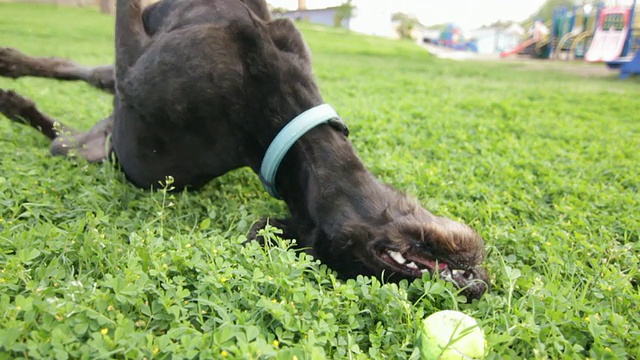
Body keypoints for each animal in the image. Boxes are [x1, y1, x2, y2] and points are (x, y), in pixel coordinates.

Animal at [1, 0, 490, 300]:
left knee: (58, 127)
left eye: (381, 270)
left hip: (85, 143)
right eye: (389, 261)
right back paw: (13, 70)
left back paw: (13, 102)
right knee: (74, 71)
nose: (472, 287)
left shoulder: (133, 64)